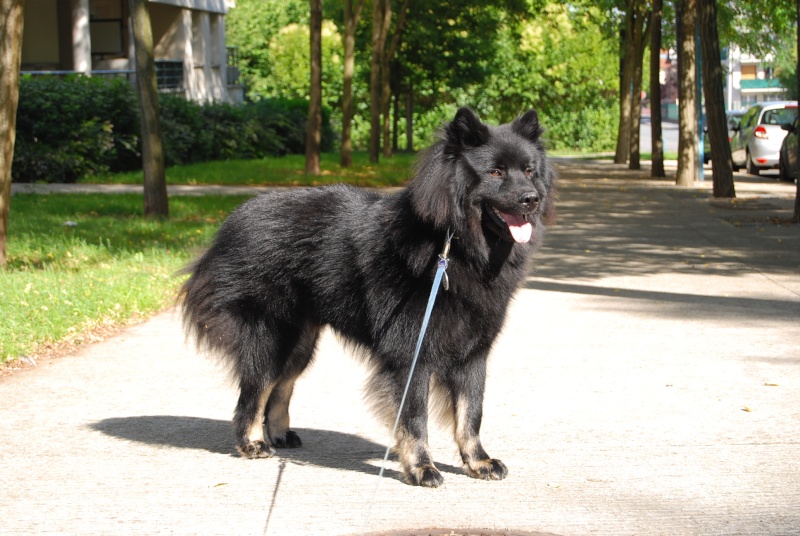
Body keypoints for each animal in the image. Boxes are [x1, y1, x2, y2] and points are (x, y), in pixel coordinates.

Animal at [181, 107, 556, 488]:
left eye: (529, 171)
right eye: (495, 172)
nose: (532, 199)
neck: (453, 246)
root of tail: (231, 223)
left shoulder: (473, 353)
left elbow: (472, 412)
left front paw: (478, 462)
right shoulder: (411, 354)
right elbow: (414, 417)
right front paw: (421, 468)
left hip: (301, 343)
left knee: (280, 387)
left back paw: (280, 434)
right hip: (273, 336)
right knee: (254, 390)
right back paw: (252, 443)